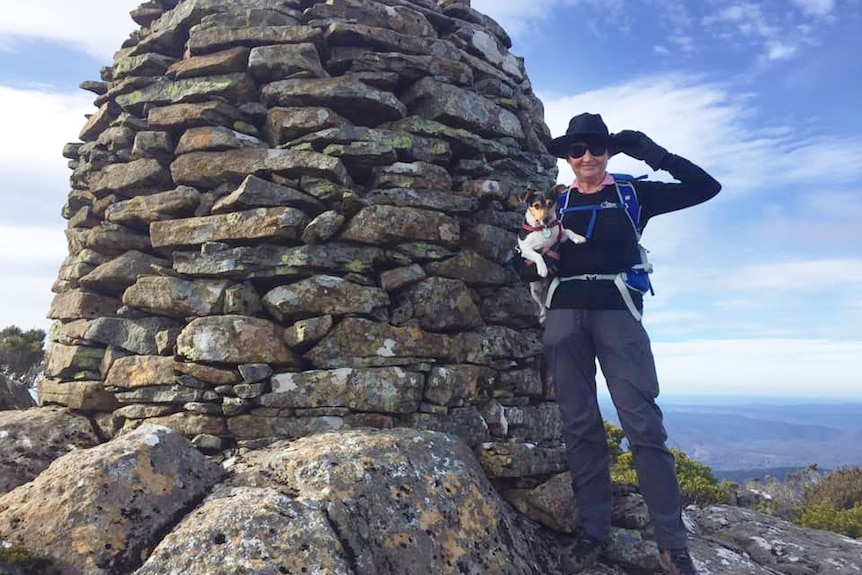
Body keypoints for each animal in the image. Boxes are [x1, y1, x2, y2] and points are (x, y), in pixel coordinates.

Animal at [520, 187, 588, 326]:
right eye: (536, 205)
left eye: (550, 203)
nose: (546, 219)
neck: (542, 228)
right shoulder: (524, 249)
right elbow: (537, 255)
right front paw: (542, 269)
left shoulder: (560, 237)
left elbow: (568, 230)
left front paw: (578, 238)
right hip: (535, 290)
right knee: (541, 305)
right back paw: (542, 316)